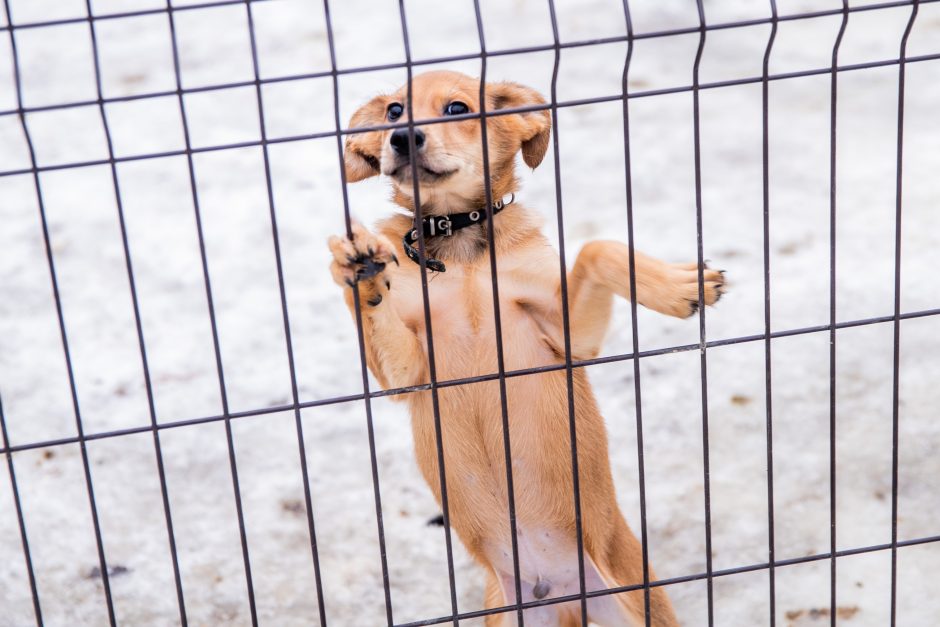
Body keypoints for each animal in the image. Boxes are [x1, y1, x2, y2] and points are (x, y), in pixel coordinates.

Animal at [330, 71, 728, 624]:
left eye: (458, 108)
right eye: (393, 111)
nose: (402, 138)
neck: (461, 245)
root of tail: (560, 594)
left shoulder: (567, 335)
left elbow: (597, 249)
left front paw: (681, 285)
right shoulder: (407, 374)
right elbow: (371, 307)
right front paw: (359, 265)